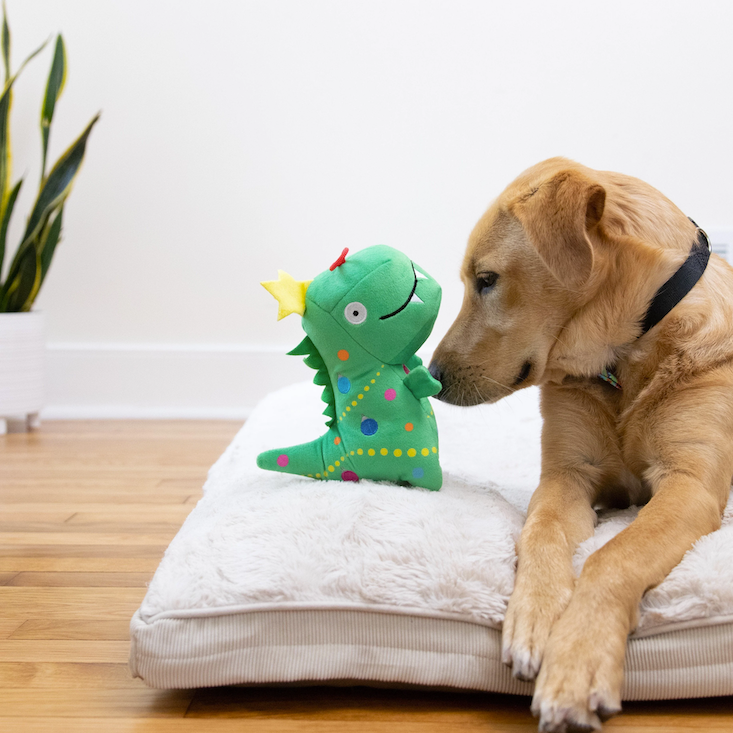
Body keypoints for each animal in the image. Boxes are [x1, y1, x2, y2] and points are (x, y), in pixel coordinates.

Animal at [429, 157, 733, 732]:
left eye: (486, 280)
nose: (430, 377)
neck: (625, 354)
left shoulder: (689, 485)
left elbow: (613, 557)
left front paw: (577, 661)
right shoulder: (567, 474)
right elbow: (541, 533)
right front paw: (535, 617)